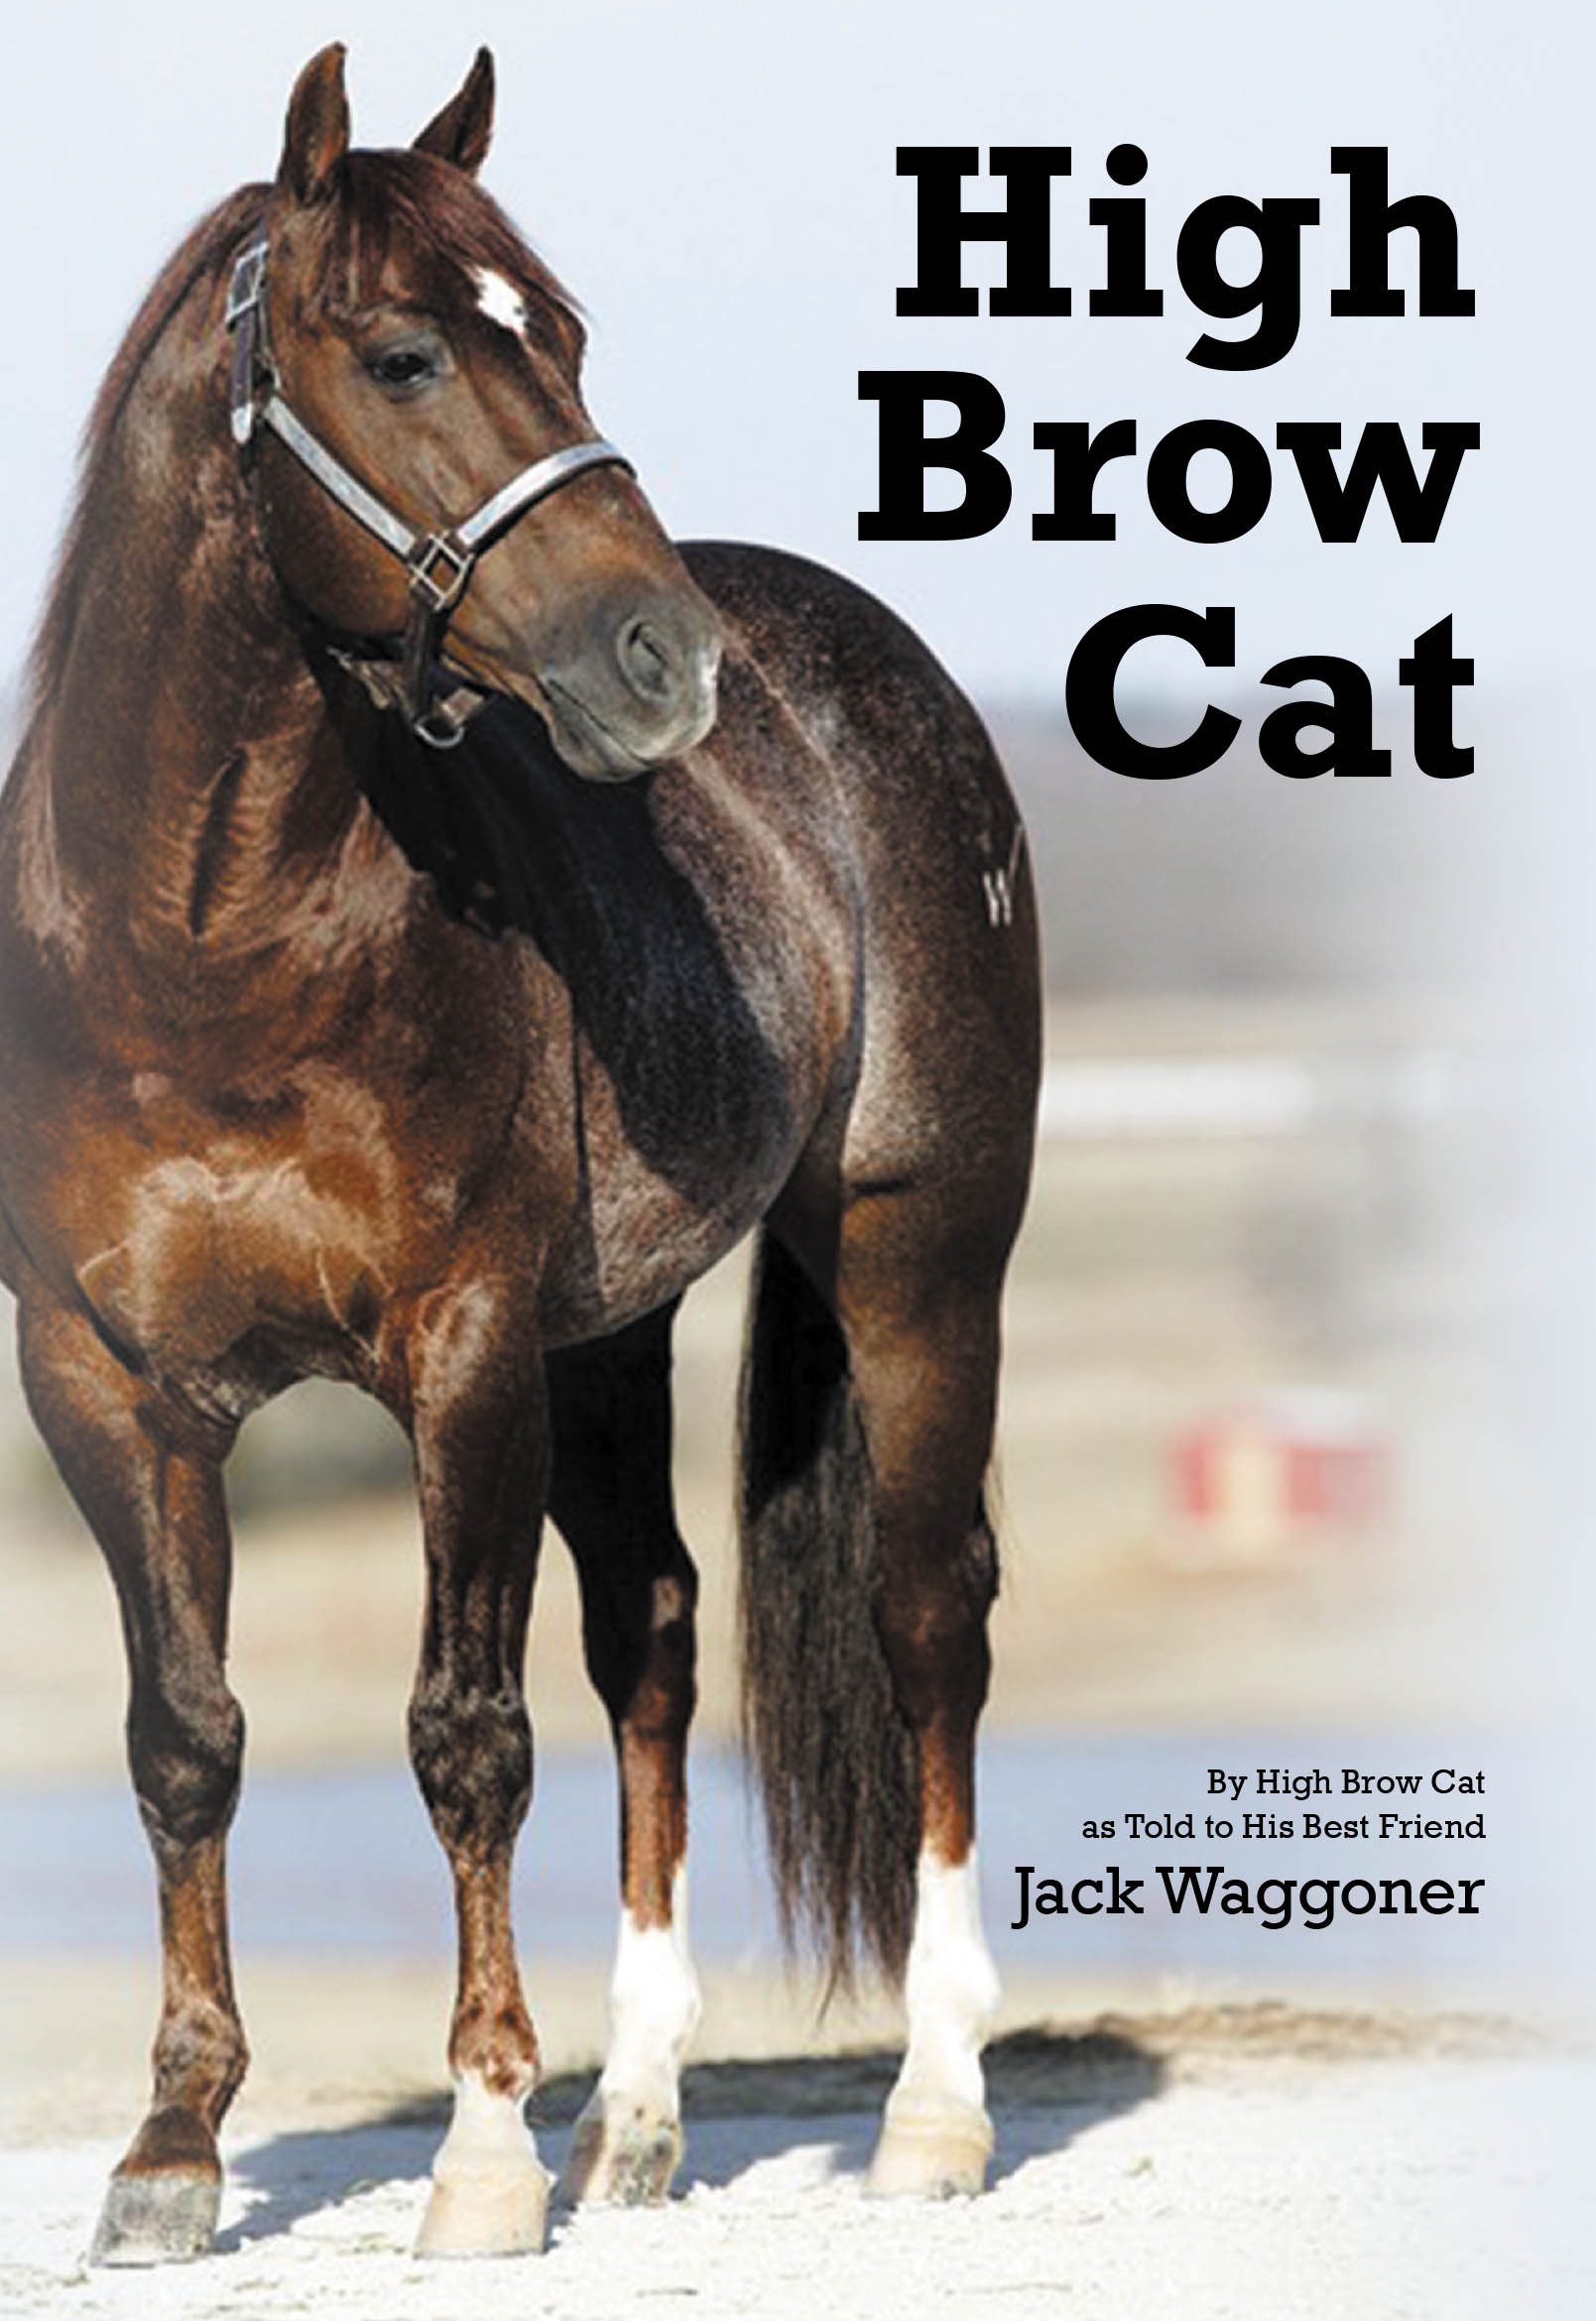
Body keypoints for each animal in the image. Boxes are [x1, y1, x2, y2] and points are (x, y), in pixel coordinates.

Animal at [0, 44, 1039, 2261]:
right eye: (405, 353)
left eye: (559, 334)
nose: (665, 665)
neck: (199, 943)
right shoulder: (109, 1386)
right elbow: (183, 1738)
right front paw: (170, 2153)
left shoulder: (459, 1352)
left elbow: (463, 1735)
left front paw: (474, 2152)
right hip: (610, 1337)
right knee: (651, 1635)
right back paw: (631, 2120)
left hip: (915, 1259)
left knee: (930, 1618)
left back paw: (930, 2109)